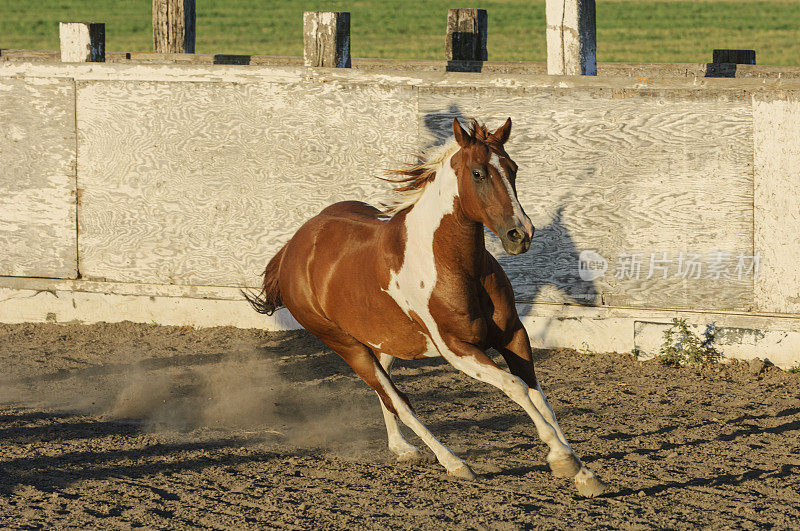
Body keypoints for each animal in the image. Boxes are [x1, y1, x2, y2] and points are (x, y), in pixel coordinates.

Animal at [244, 118, 608, 496]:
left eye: (513, 168)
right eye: (478, 173)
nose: (520, 234)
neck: (452, 263)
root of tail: (292, 248)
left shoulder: (513, 336)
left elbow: (539, 397)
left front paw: (581, 471)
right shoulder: (457, 349)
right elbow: (515, 387)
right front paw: (563, 460)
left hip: (384, 343)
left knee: (386, 394)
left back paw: (403, 449)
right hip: (346, 344)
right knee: (397, 399)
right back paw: (453, 463)